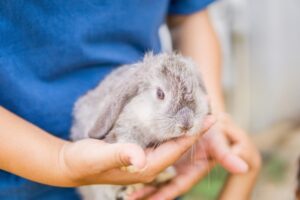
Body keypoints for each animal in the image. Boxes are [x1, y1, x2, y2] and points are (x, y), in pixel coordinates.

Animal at [70, 52, 211, 199]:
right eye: (160, 94)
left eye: (196, 90)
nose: (186, 125)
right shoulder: (126, 126)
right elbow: (127, 138)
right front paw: (130, 167)